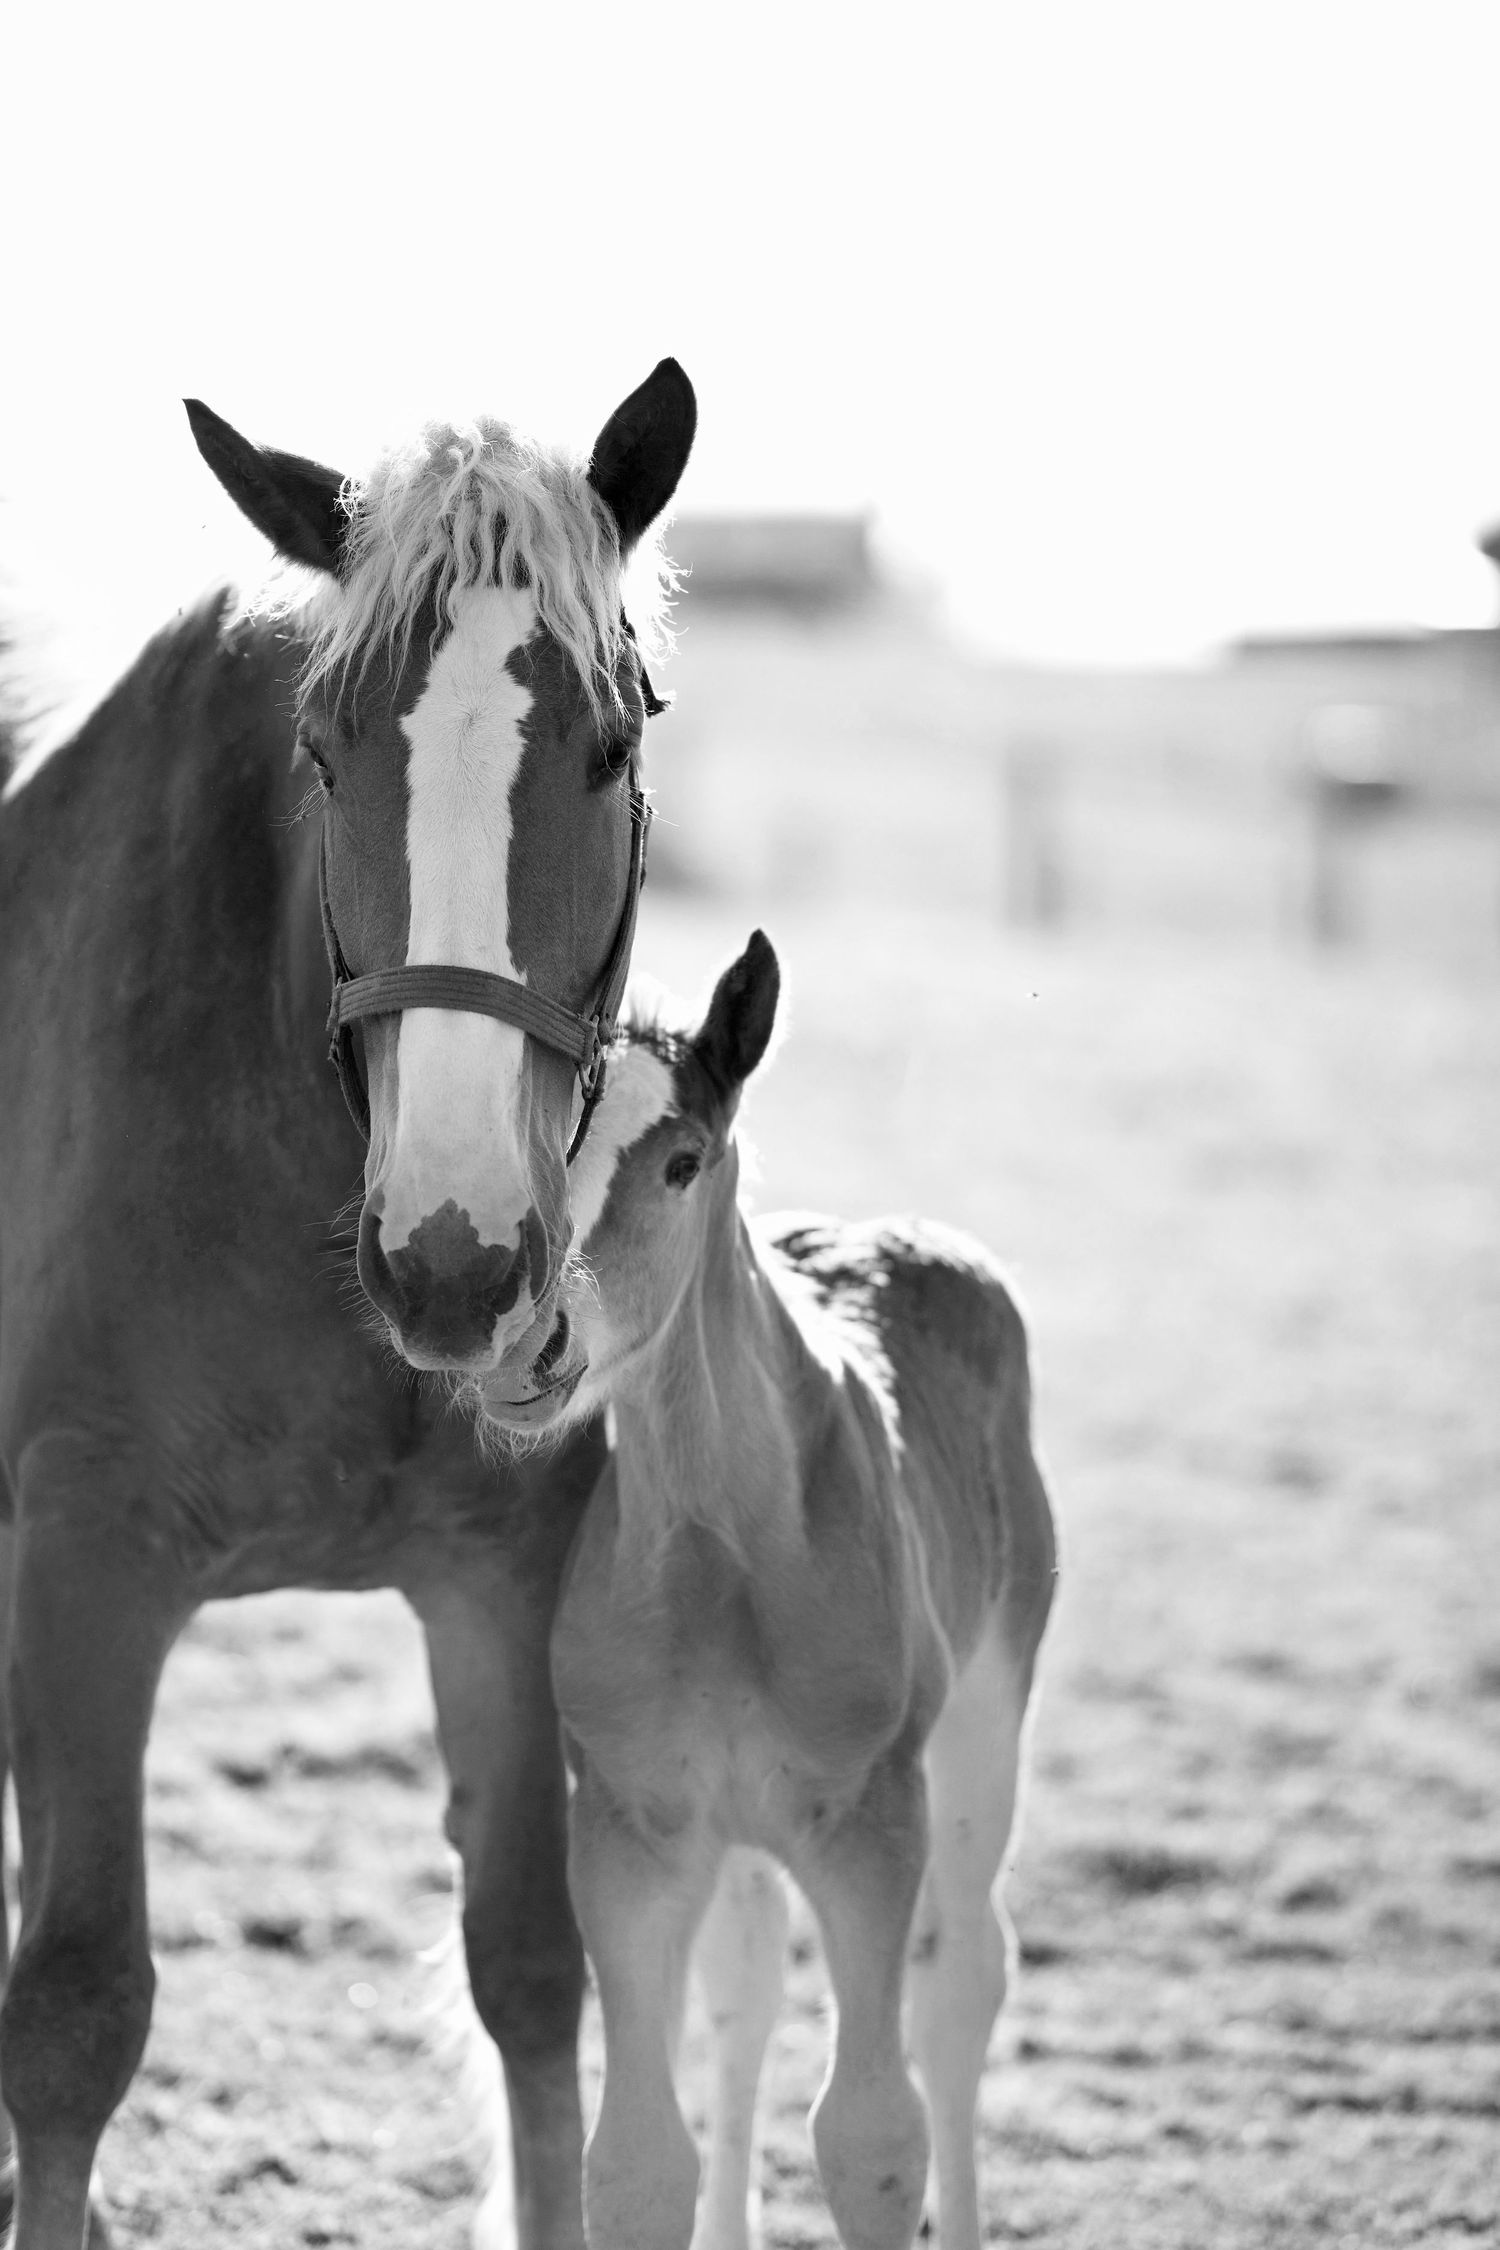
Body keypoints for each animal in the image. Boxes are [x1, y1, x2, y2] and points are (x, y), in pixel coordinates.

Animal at [0, 358, 695, 2250]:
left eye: (613, 746)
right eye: (327, 751)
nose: (454, 1259)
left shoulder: (498, 1585)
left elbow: (530, 1976)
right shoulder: (83, 1576)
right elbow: (76, 2013)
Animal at [472, 932, 1058, 2250]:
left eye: (683, 1160)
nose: (529, 1347)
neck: (723, 1557)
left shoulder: (868, 1826)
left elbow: (871, 2139)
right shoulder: (633, 1833)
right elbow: (638, 2161)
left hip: (984, 1724)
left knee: (963, 1981)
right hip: (737, 1829)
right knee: (743, 1997)